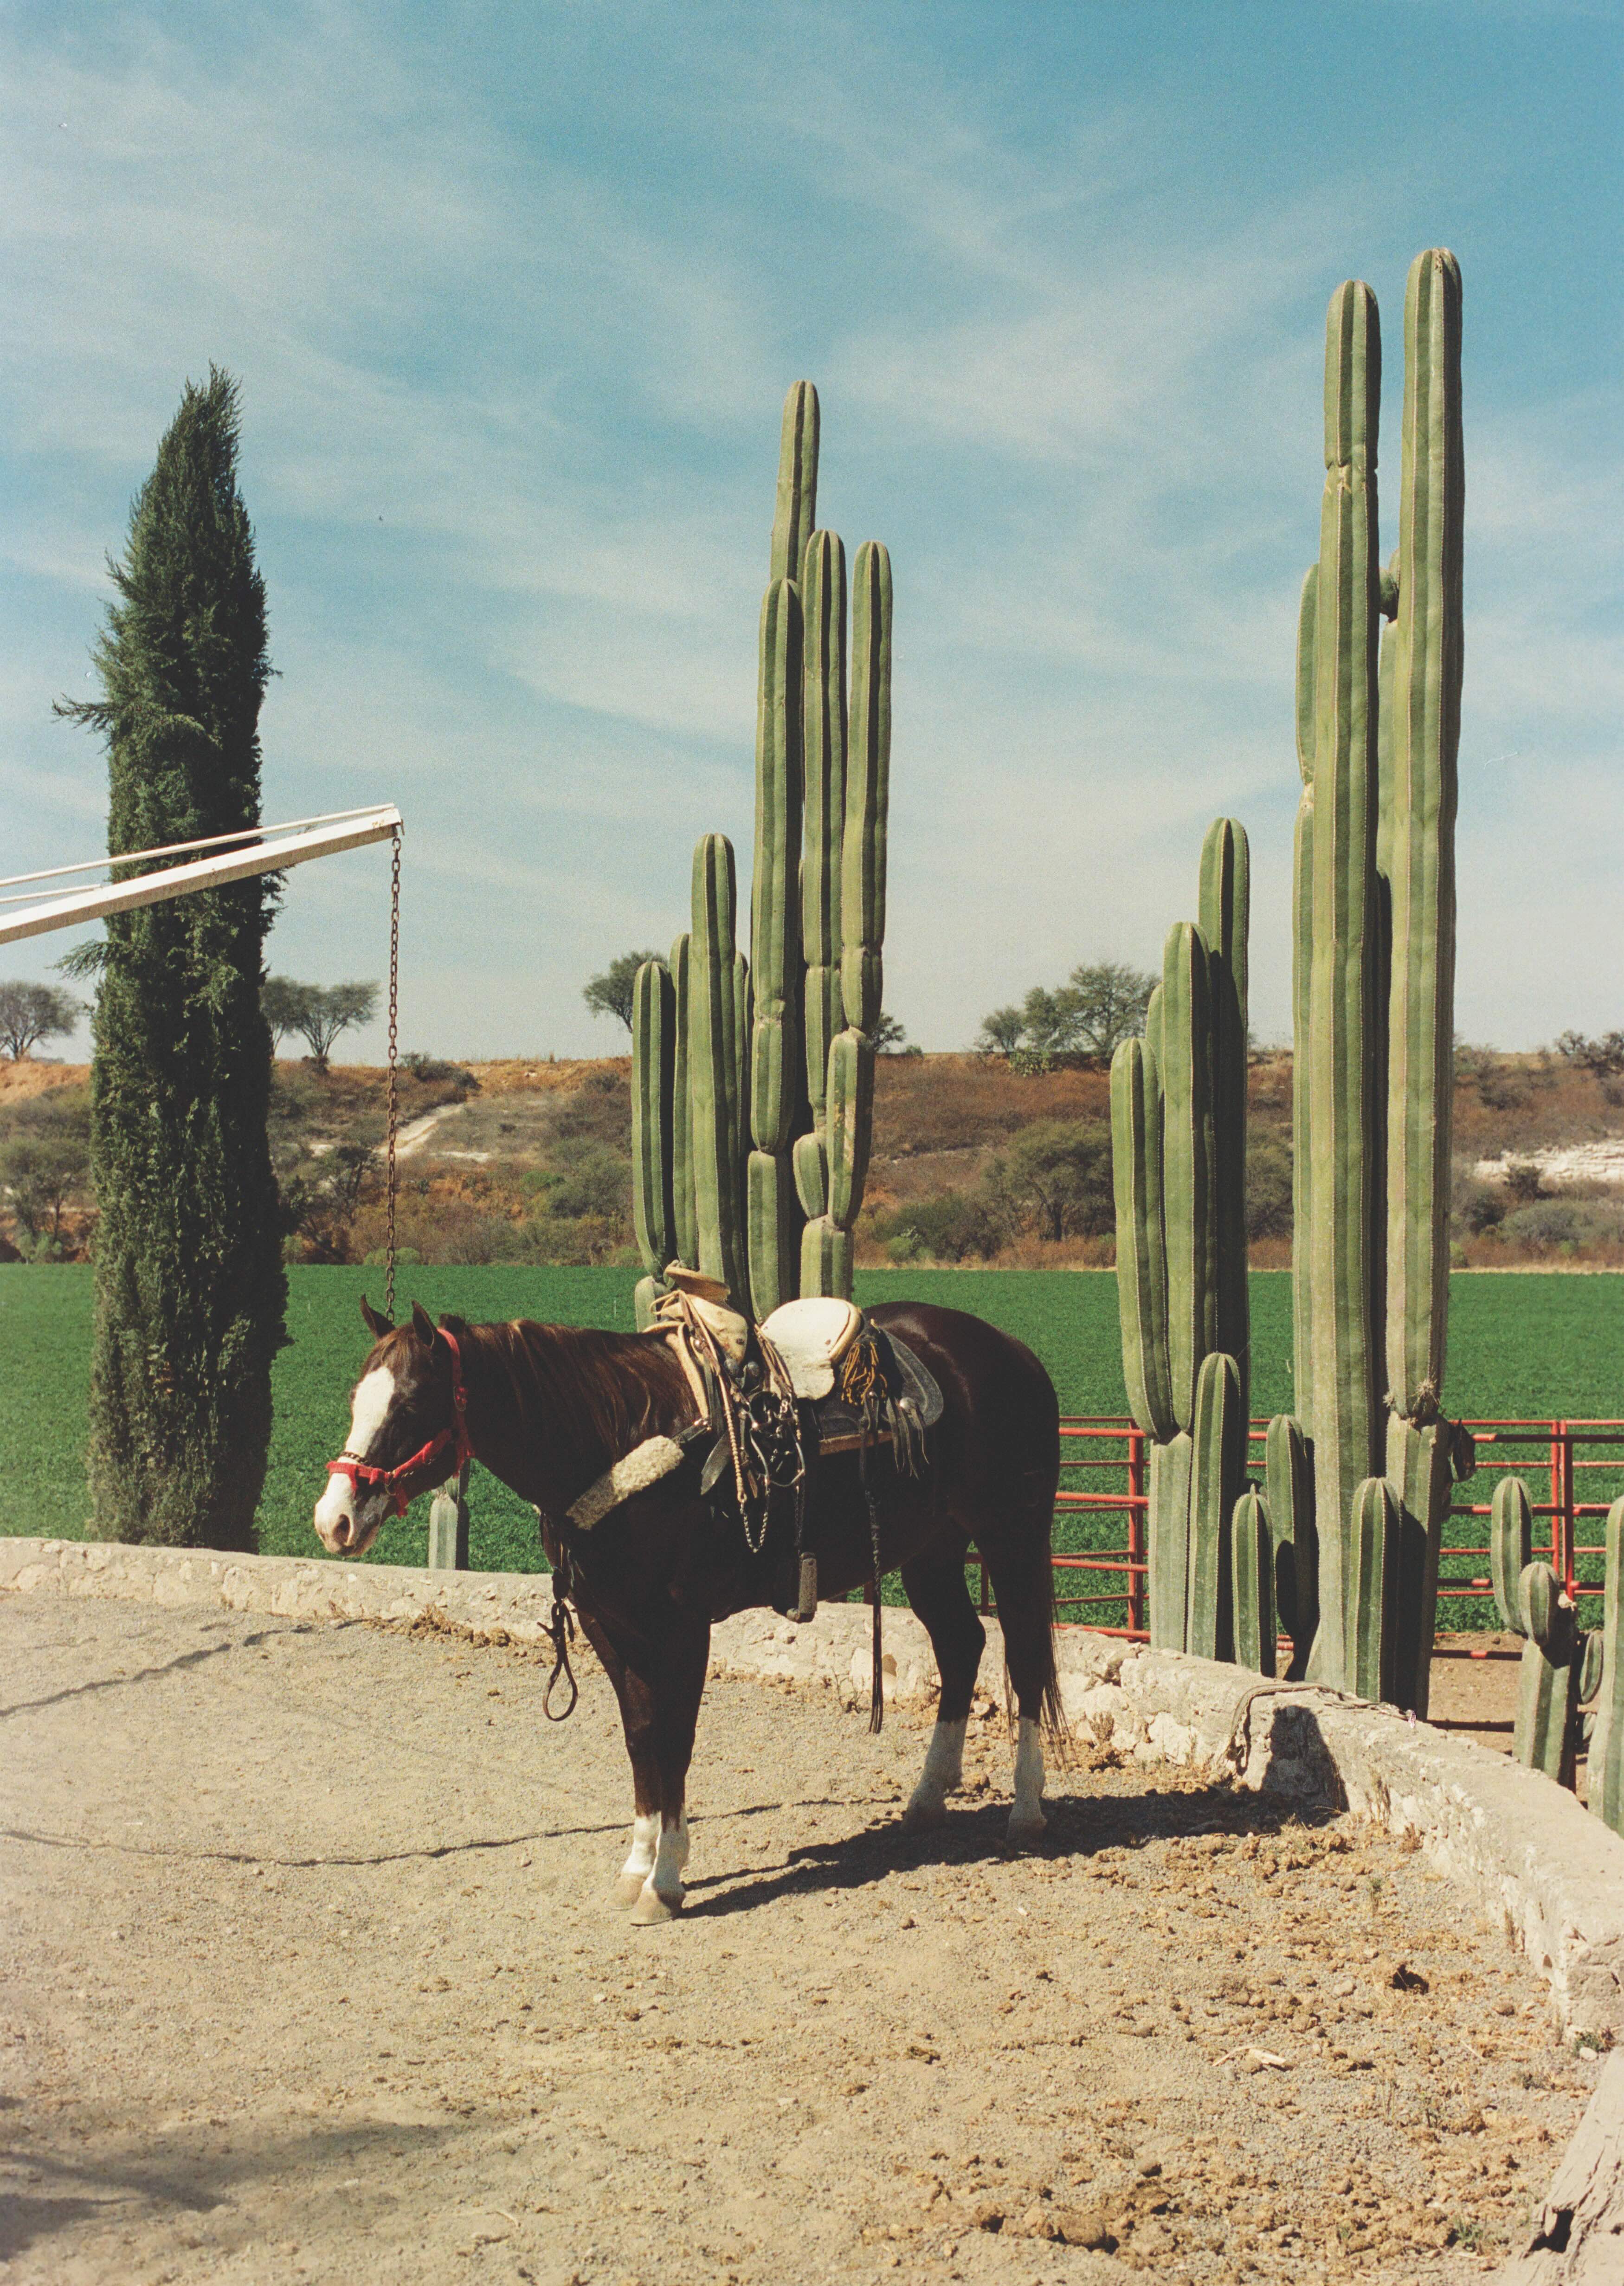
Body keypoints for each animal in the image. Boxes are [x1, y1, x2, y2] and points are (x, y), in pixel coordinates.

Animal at [315, 1298, 1069, 1920]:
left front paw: (668, 1881)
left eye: (413, 1402)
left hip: (1012, 1538)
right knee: (962, 1646)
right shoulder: (607, 1626)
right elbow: (641, 1737)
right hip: (931, 1551)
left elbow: (675, 1739)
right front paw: (637, 1866)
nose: (334, 1520)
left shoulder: (680, 1627)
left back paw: (1027, 1811)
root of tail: (1013, 1351)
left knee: (1025, 1659)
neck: (616, 1434)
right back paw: (927, 1797)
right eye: (356, 1397)